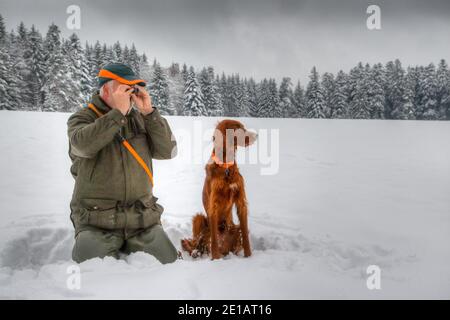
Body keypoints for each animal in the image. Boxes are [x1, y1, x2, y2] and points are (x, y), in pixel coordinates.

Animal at [179, 119, 256, 258]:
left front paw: (249, 256)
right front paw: (215, 259)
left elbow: (245, 235)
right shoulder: (213, 206)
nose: (256, 135)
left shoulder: (241, 201)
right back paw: (196, 251)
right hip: (199, 219)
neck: (226, 167)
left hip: (234, 228)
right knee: (196, 242)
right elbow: (214, 238)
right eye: (238, 128)